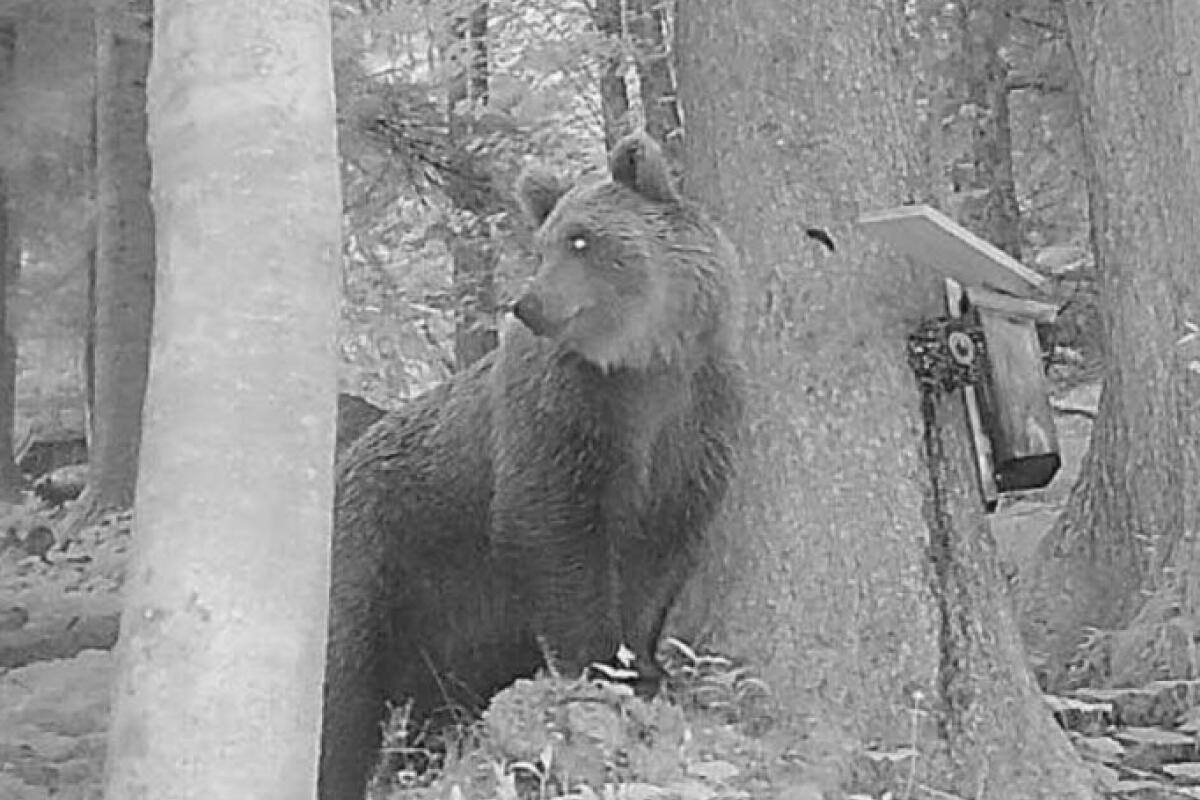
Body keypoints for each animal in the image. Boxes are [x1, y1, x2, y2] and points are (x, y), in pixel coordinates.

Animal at [319, 133, 744, 800]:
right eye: (543, 245)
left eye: (581, 240)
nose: (529, 302)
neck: (644, 365)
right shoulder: (565, 416)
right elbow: (555, 529)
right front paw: (600, 663)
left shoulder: (694, 423)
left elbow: (664, 549)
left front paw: (646, 666)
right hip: (383, 557)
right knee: (344, 686)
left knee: (435, 703)